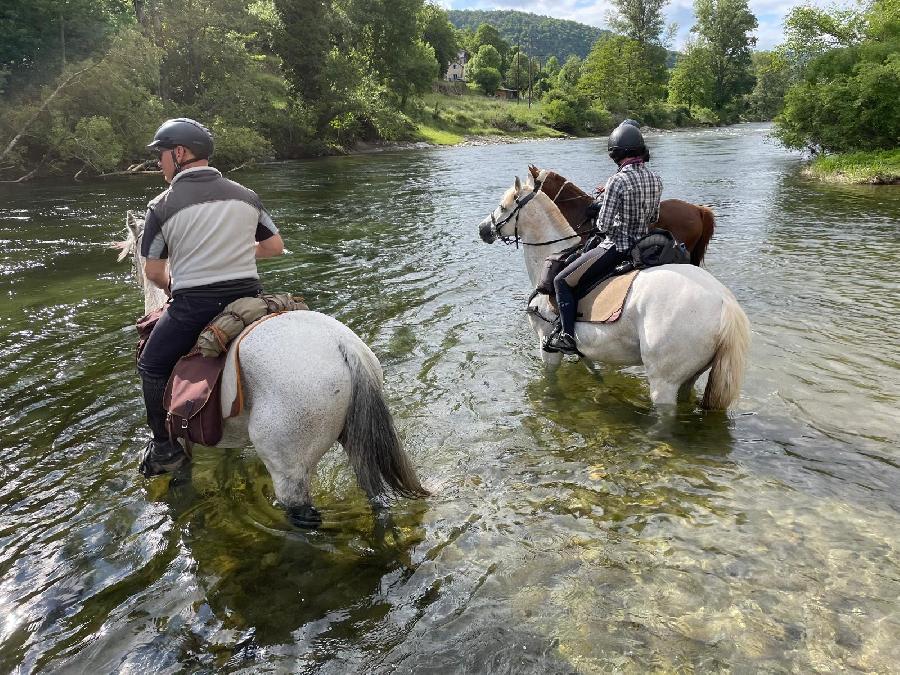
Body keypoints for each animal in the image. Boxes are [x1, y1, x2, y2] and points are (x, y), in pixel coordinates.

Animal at [120, 210, 428, 524]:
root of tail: (344, 347)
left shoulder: (182, 439)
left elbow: (181, 476)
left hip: (288, 466)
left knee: (301, 515)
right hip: (358, 445)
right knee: (376, 499)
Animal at [478, 174, 752, 410]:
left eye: (503, 207)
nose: (482, 229)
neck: (551, 256)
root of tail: (725, 303)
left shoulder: (548, 349)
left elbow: (550, 381)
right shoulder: (585, 351)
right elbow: (593, 371)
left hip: (664, 382)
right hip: (690, 376)